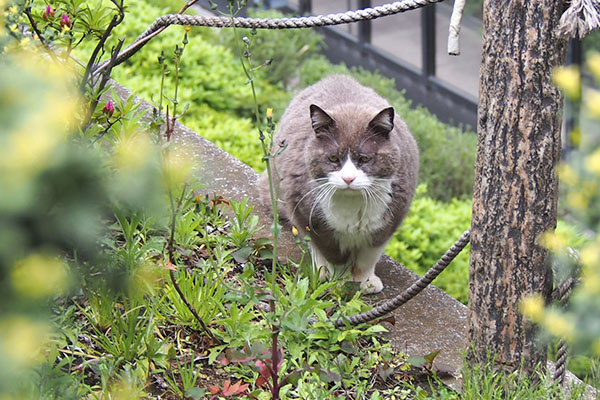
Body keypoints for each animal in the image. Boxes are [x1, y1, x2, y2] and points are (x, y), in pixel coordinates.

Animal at [258, 76, 418, 294]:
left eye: (365, 158)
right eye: (333, 158)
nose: (348, 178)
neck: (353, 205)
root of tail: (336, 77)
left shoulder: (388, 221)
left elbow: (368, 256)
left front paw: (366, 282)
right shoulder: (312, 217)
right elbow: (334, 256)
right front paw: (339, 282)